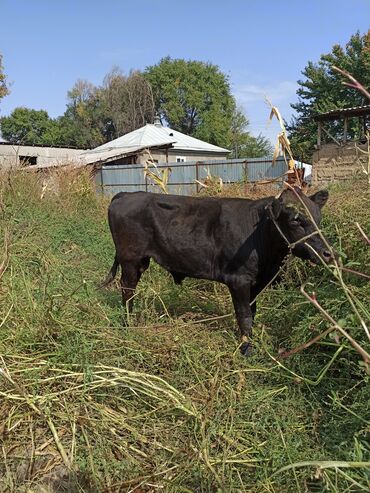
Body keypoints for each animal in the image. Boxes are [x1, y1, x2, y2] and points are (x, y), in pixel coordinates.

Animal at [102, 186, 330, 352]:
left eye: (318, 218)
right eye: (295, 220)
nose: (327, 253)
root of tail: (127, 194)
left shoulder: (256, 283)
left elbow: (253, 311)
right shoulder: (238, 279)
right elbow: (244, 315)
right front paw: (247, 348)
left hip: (141, 261)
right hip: (130, 259)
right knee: (127, 290)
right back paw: (128, 324)